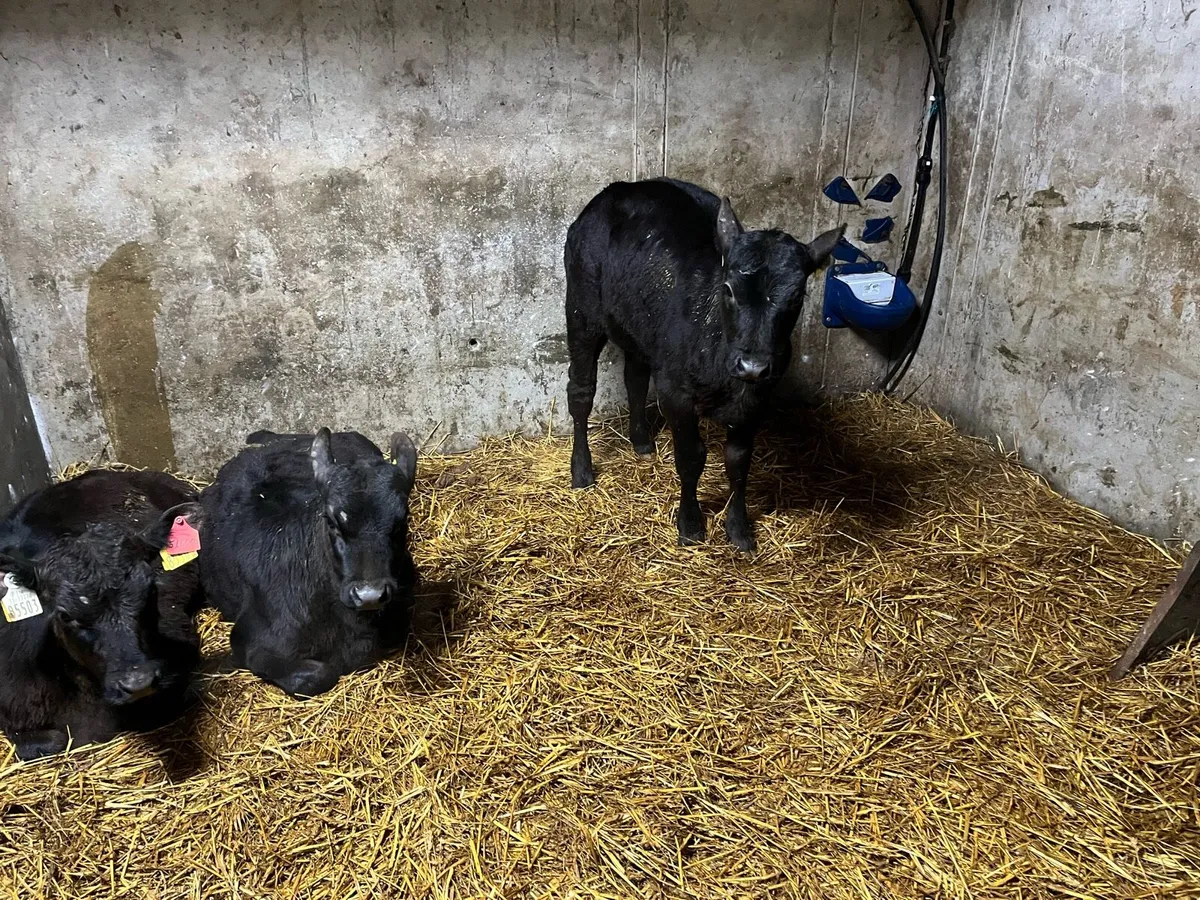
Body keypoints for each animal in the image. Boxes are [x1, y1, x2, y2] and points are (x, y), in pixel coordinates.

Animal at [564, 177, 843, 551]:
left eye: (797, 297)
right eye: (728, 289)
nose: (752, 365)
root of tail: (619, 188)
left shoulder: (757, 399)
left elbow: (738, 461)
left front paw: (739, 528)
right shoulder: (675, 393)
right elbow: (691, 456)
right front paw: (691, 524)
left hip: (639, 327)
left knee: (635, 377)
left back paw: (641, 441)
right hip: (582, 308)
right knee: (581, 391)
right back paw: (581, 470)